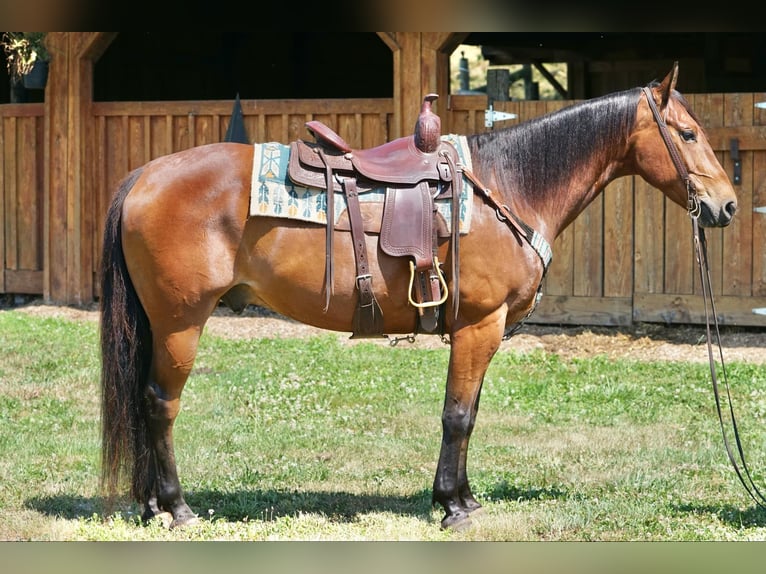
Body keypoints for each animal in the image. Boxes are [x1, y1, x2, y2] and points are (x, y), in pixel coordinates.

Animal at [99, 62, 737, 531]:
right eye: (687, 134)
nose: (727, 206)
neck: (507, 186)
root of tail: (144, 176)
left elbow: (468, 413)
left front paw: (463, 496)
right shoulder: (479, 325)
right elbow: (458, 415)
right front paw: (452, 505)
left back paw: (151, 505)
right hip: (180, 322)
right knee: (159, 404)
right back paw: (177, 507)